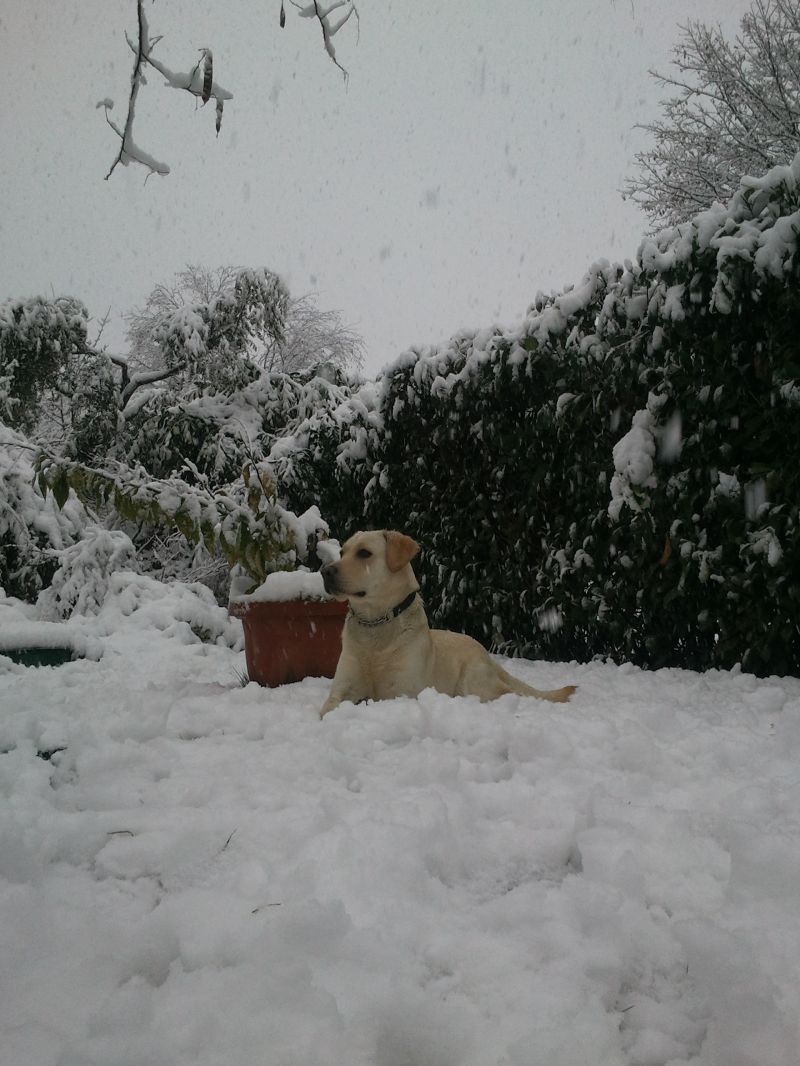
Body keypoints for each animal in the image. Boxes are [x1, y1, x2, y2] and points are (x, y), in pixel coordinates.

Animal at [320, 530, 576, 716]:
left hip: (472, 682)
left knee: (507, 692)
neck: (377, 622)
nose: (325, 571)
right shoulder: (341, 688)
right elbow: (329, 709)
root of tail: (486, 654)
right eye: (342, 551)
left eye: (364, 553)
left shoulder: (402, 692)